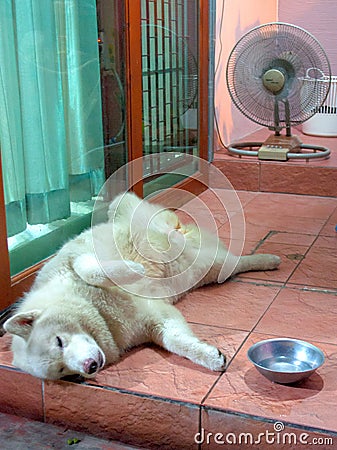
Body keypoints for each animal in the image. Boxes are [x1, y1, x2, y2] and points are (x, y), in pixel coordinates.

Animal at [3, 192, 280, 378]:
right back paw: (266, 260)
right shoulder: (155, 321)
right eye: (64, 371)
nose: (91, 367)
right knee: (234, 263)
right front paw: (210, 358)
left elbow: (88, 268)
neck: (98, 310)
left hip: (123, 207)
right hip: (213, 268)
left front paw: (133, 270)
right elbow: (177, 341)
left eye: (59, 341)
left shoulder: (74, 260)